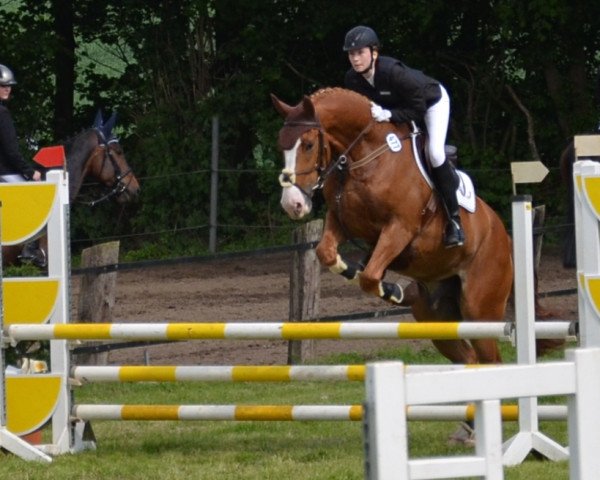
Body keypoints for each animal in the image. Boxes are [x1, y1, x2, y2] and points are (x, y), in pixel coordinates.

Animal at [274, 87, 512, 364]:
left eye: (309, 145)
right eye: (281, 146)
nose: (292, 204)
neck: (366, 158)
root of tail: (504, 237)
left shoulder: (400, 227)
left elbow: (370, 276)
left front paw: (391, 288)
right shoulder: (342, 221)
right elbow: (327, 253)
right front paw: (358, 273)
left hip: (480, 309)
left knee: (491, 359)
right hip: (436, 319)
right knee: (469, 358)